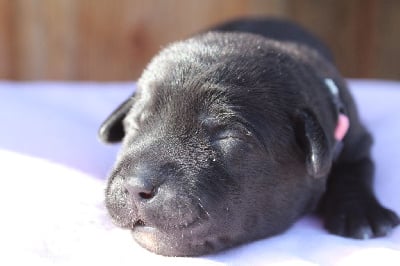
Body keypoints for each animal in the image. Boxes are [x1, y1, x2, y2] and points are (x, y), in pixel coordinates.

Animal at [98, 18, 398, 256]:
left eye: (228, 136)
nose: (134, 186)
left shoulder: (357, 139)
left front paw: (362, 215)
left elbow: (356, 168)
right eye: (137, 121)